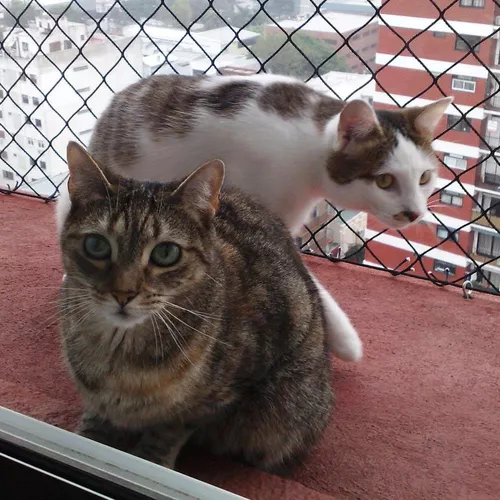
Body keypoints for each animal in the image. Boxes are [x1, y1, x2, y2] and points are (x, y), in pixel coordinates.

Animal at [58, 141, 332, 472]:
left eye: (165, 252)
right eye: (96, 245)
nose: (123, 293)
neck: (120, 354)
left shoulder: (211, 400)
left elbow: (168, 431)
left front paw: (151, 460)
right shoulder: (97, 398)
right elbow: (94, 428)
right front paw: (89, 440)